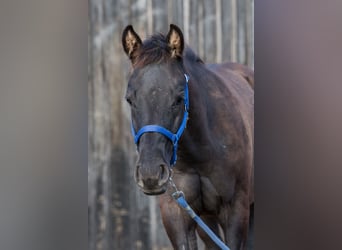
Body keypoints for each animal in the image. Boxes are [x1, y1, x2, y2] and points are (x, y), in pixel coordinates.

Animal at [121, 23, 252, 250]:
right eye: (130, 100)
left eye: (179, 98)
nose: (150, 174)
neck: (201, 155)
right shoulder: (177, 214)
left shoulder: (236, 211)